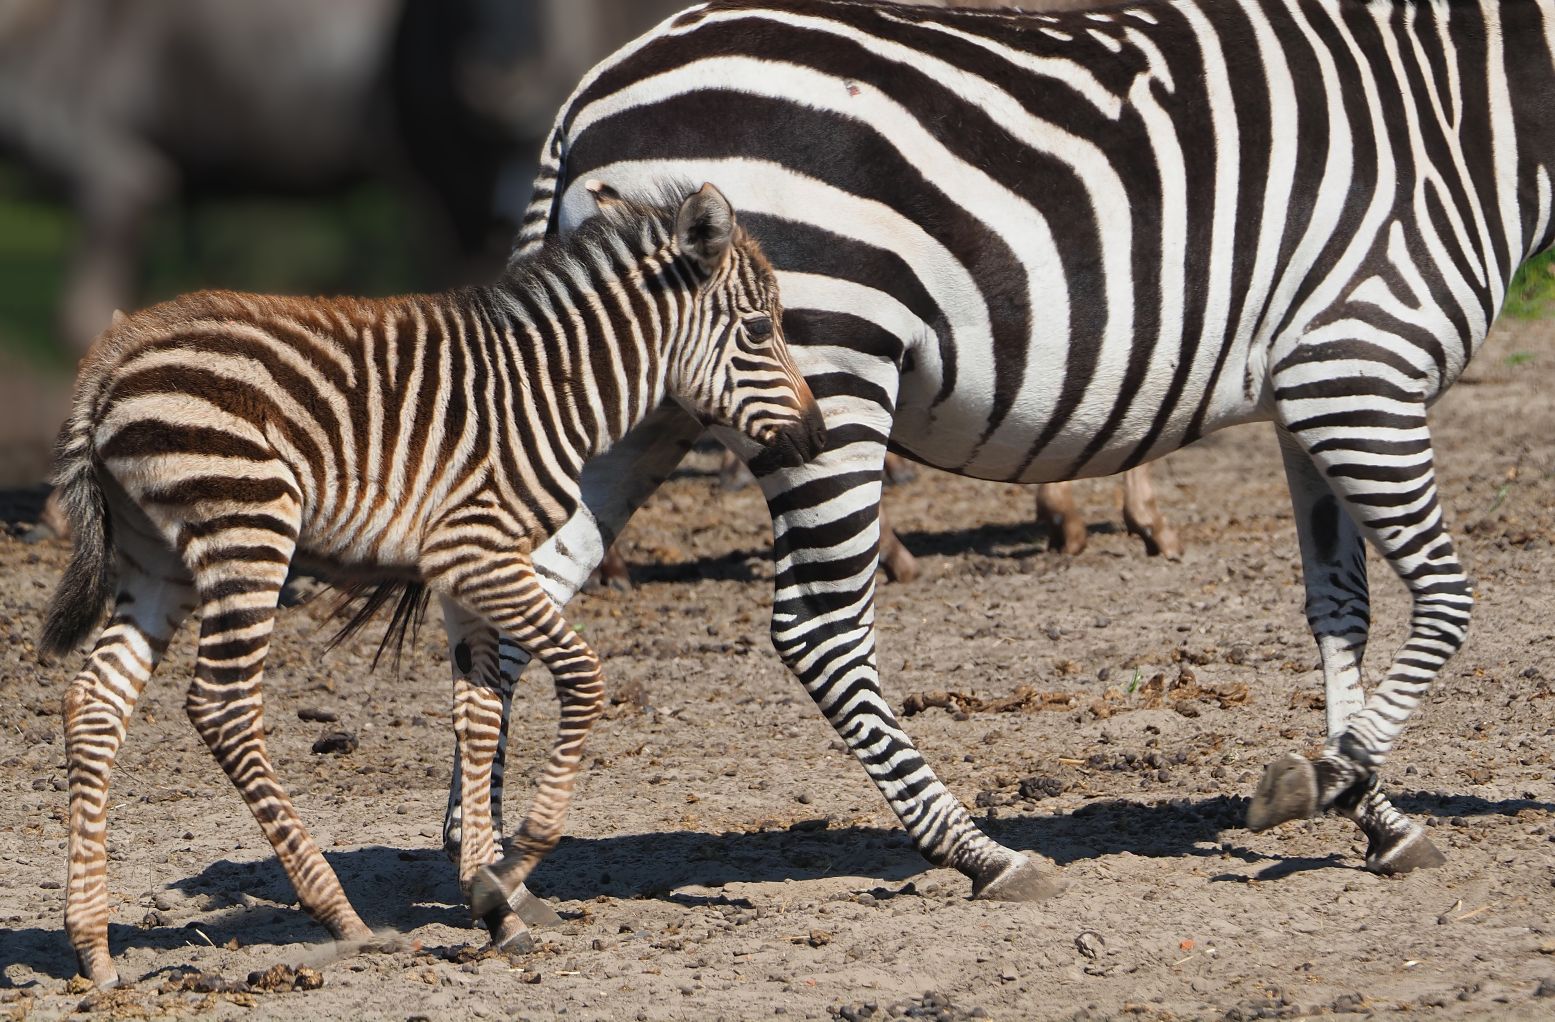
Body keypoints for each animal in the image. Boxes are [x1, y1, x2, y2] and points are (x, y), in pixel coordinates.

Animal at [42, 185, 833, 989]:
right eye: (761, 329)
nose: (818, 439)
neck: (554, 390)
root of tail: (110, 359)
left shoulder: (464, 575)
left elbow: (479, 715)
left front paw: (494, 906)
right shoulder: (477, 553)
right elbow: (582, 677)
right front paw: (507, 870)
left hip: (156, 558)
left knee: (96, 699)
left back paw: (93, 948)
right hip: (247, 525)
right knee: (222, 706)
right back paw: (341, 916)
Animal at [447, 0, 1555, 902]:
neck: (1468, 114)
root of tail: (591, 93)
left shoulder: (1311, 393)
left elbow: (1340, 609)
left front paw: (1370, 808)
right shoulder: (1356, 368)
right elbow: (1448, 598)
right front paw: (1329, 780)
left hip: (642, 402)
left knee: (519, 584)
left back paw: (482, 853)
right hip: (825, 360)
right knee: (817, 628)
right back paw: (978, 851)